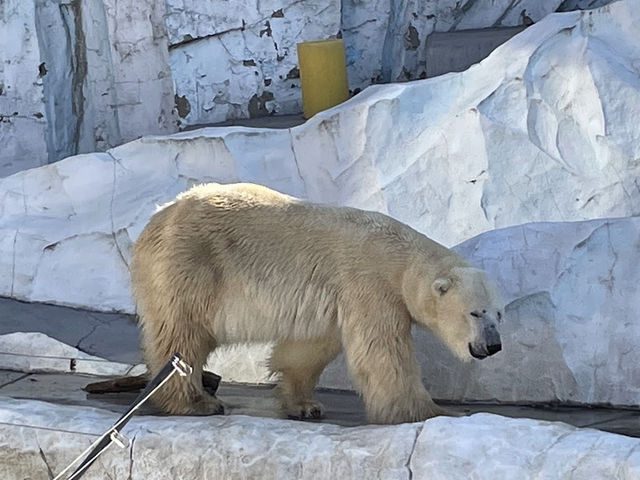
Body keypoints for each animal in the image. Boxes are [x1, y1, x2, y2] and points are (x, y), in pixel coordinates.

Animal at [131, 182, 504, 422]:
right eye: (475, 313)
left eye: (500, 314)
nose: (493, 345)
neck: (400, 259)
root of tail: (155, 221)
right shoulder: (370, 285)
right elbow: (382, 353)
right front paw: (433, 411)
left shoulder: (335, 296)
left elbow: (308, 348)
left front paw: (304, 405)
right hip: (191, 265)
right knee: (182, 335)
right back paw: (196, 402)